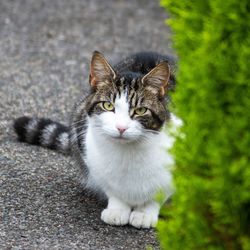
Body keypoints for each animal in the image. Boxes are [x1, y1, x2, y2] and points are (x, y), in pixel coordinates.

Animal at [13, 50, 179, 229]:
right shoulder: (90, 155)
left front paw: (145, 213)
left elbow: (158, 195)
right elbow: (112, 189)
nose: (121, 127)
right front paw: (118, 209)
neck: (127, 153)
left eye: (141, 110)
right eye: (108, 106)